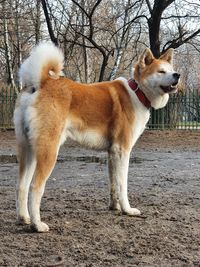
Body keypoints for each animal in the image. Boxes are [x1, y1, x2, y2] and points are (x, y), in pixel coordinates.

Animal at [13, 42, 180, 232]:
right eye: (161, 71)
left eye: (171, 69)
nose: (177, 75)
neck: (137, 92)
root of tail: (41, 82)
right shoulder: (122, 151)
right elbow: (122, 185)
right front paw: (128, 210)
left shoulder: (112, 152)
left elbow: (113, 184)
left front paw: (115, 207)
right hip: (48, 151)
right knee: (35, 187)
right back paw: (37, 224)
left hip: (29, 151)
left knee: (21, 185)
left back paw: (24, 218)